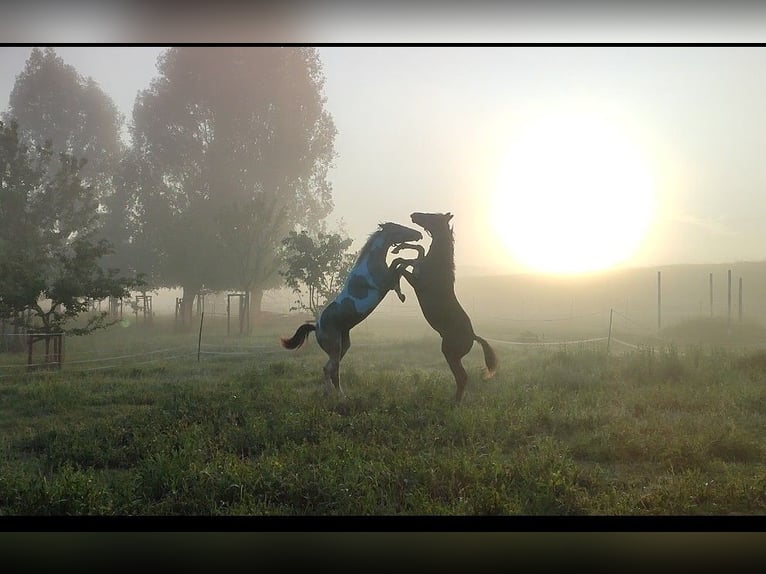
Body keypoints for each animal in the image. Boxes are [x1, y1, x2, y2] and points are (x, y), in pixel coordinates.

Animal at [282, 223, 424, 398]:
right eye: (399, 228)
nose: (418, 234)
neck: (369, 264)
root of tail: (316, 326)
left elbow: (398, 266)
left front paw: (402, 294)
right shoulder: (384, 282)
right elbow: (398, 264)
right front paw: (402, 292)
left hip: (343, 347)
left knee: (333, 370)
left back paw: (338, 394)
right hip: (335, 347)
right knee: (329, 369)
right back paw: (335, 395)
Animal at [392, 213, 500, 404]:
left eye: (432, 216)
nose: (414, 215)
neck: (437, 265)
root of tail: (473, 336)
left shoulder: (417, 283)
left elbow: (402, 268)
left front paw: (400, 292)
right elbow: (416, 253)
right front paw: (398, 249)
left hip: (450, 354)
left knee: (462, 377)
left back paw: (454, 403)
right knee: (461, 378)